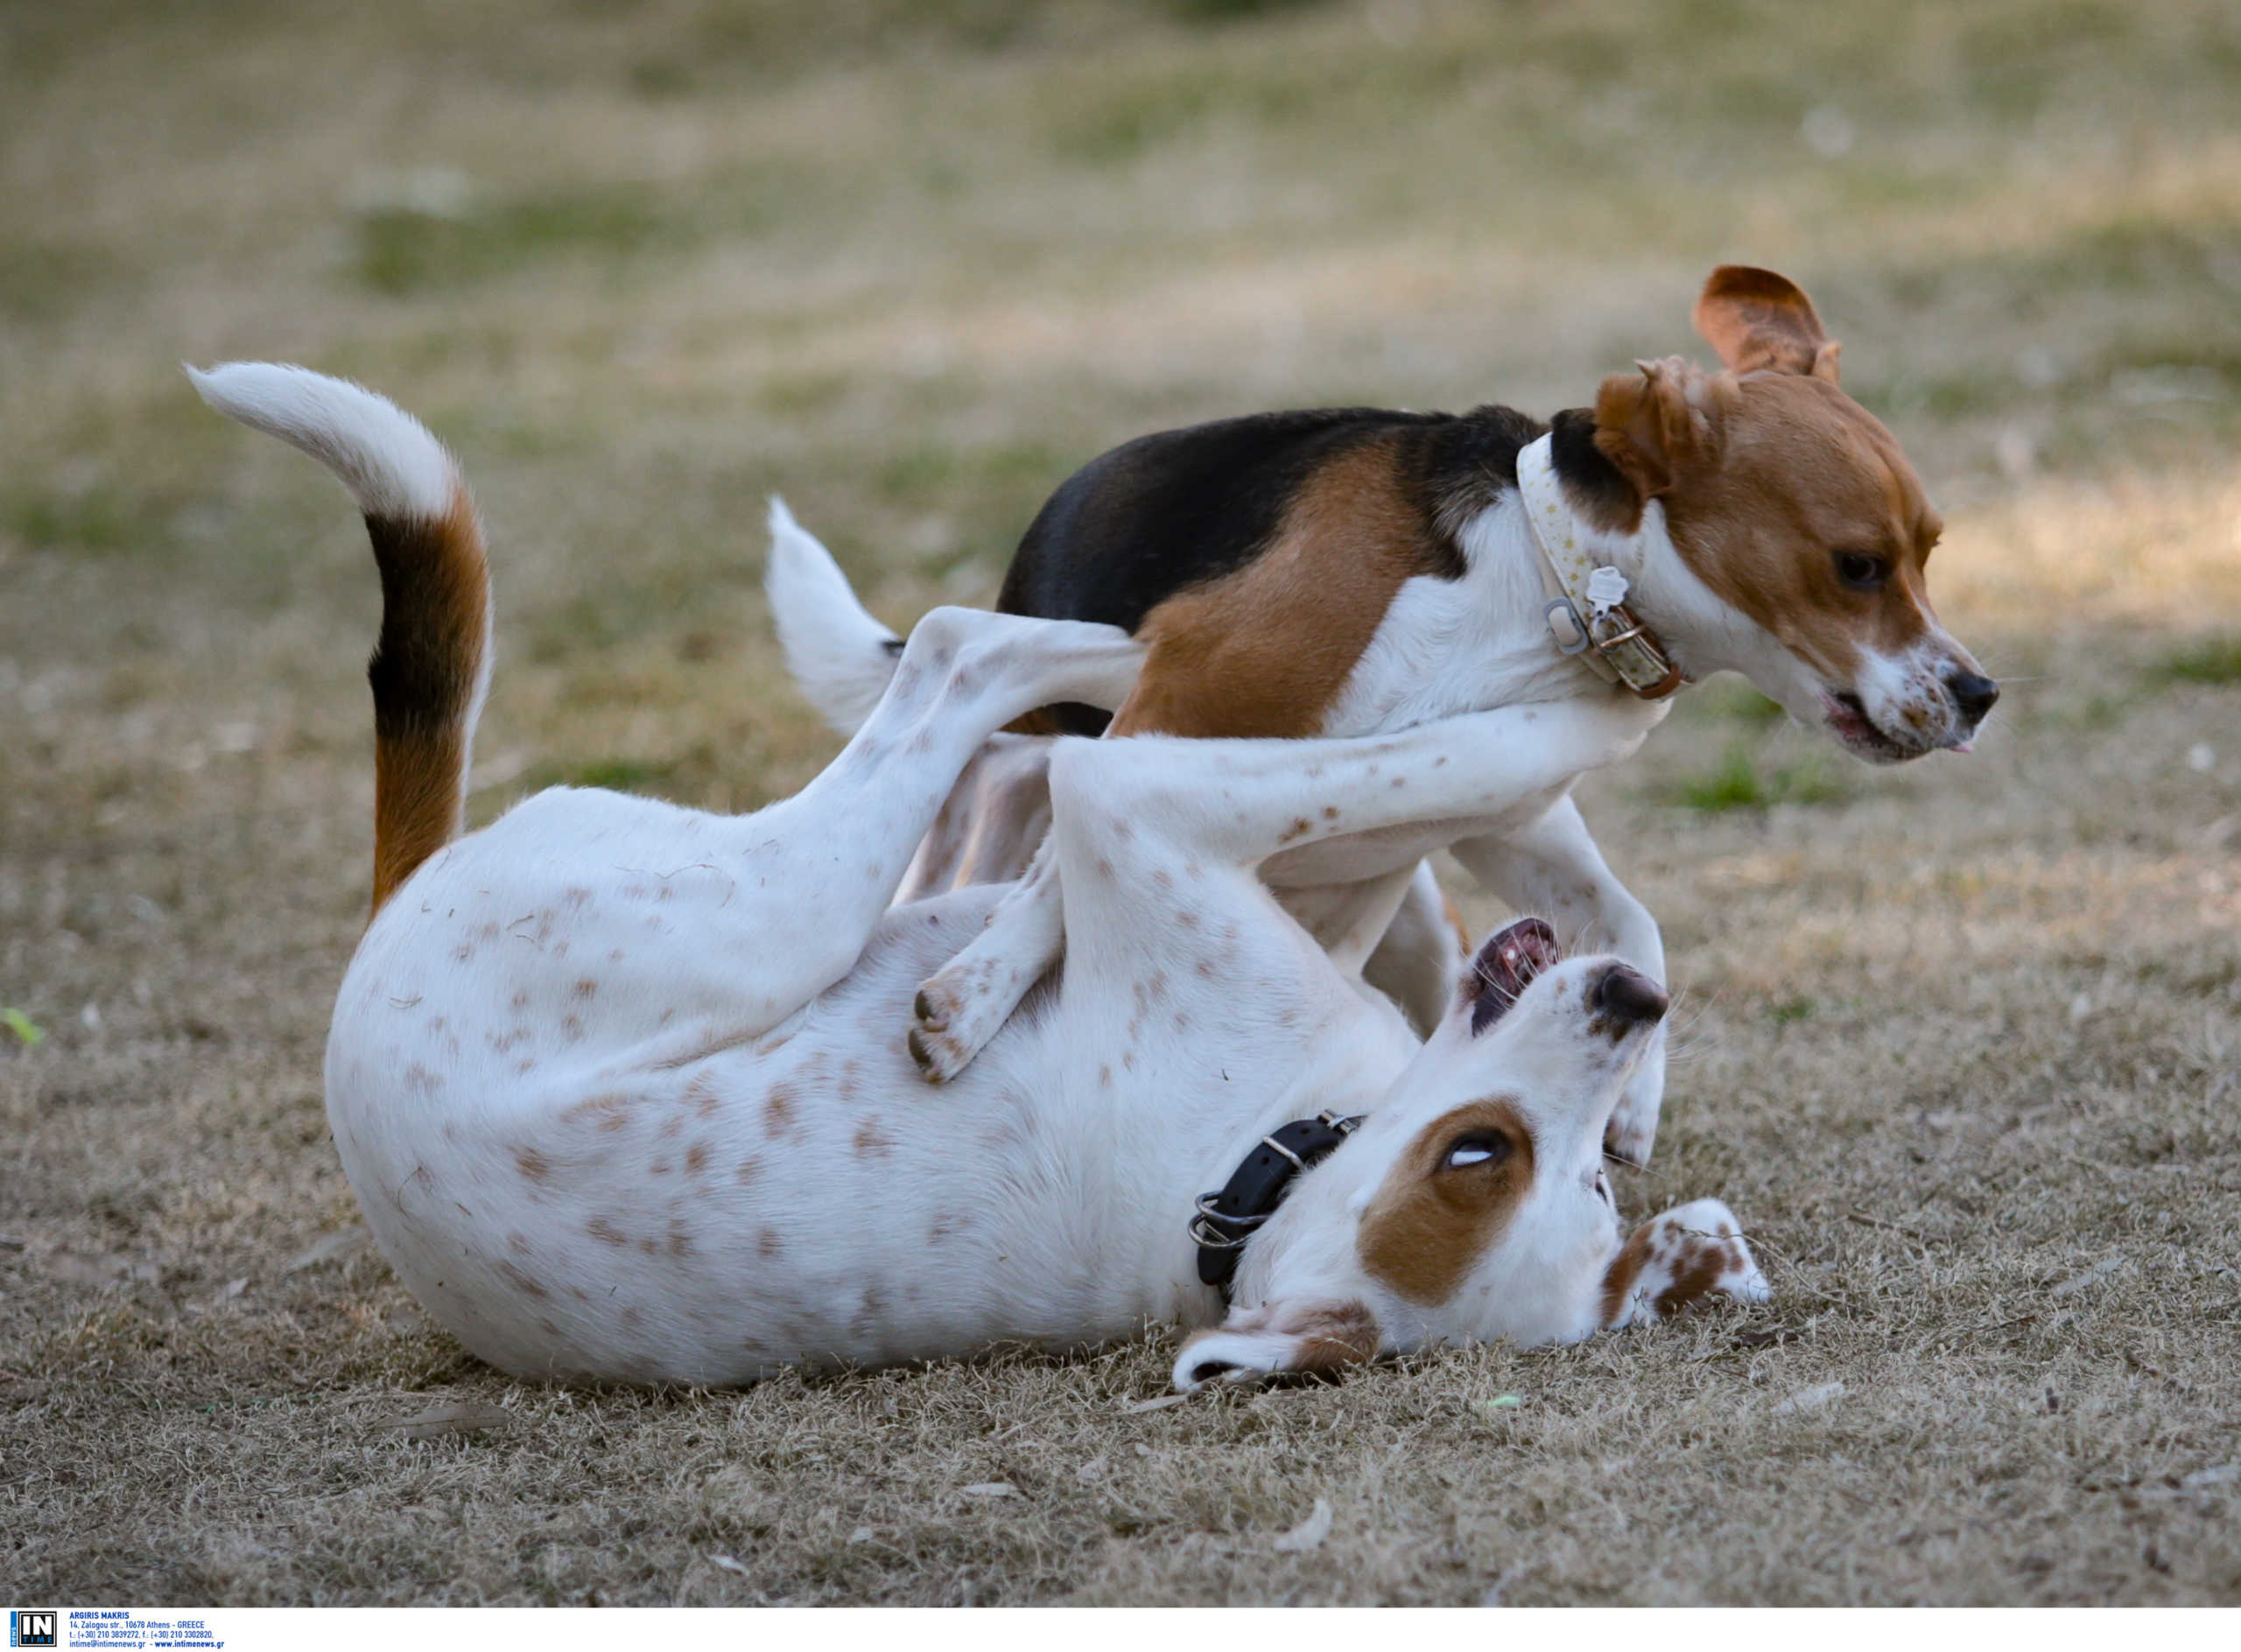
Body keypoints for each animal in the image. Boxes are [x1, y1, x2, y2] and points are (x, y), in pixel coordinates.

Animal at [193, 362, 1766, 1389]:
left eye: (1570, 1182)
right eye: (1483, 1152)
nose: (1627, 1005)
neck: (1248, 1187)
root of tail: (384, 926)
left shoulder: (1155, 818)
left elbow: (1440, 770)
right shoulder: (1191, 815)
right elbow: (1434, 764)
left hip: (766, 902)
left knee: (962, 657)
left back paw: (1085, 657)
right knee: (987, 670)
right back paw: (1112, 652)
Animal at [775, 264, 1999, 1156]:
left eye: (1929, 553)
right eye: (1856, 566)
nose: (1979, 694)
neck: (1537, 582)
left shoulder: (1501, 808)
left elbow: (1629, 918)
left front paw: (1634, 1098)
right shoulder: (1189, 689)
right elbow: (1050, 886)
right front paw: (970, 1000)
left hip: (1404, 899)